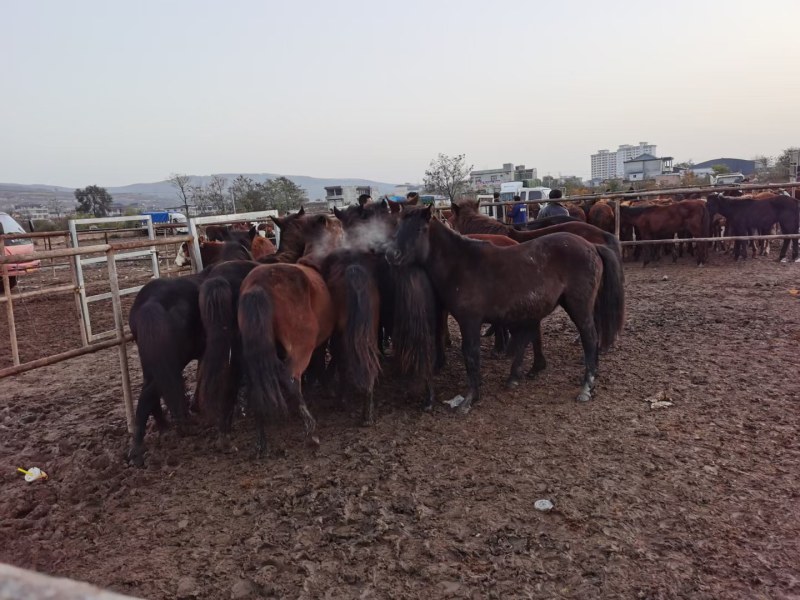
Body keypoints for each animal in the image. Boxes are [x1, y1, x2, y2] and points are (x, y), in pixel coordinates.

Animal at [387, 205, 625, 410]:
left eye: (419, 229)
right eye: (397, 228)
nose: (392, 255)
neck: (461, 264)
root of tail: (593, 246)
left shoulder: (469, 321)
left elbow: (470, 354)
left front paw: (470, 398)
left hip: (579, 307)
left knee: (589, 338)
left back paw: (586, 386)